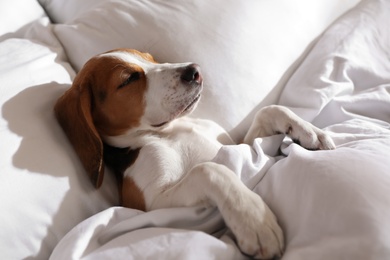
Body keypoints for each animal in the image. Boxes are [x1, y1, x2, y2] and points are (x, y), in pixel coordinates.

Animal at [54, 48, 336, 258]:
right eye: (128, 79)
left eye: (151, 59)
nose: (195, 71)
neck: (166, 132)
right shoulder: (152, 204)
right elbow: (209, 169)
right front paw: (253, 218)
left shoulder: (238, 144)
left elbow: (269, 110)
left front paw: (309, 131)